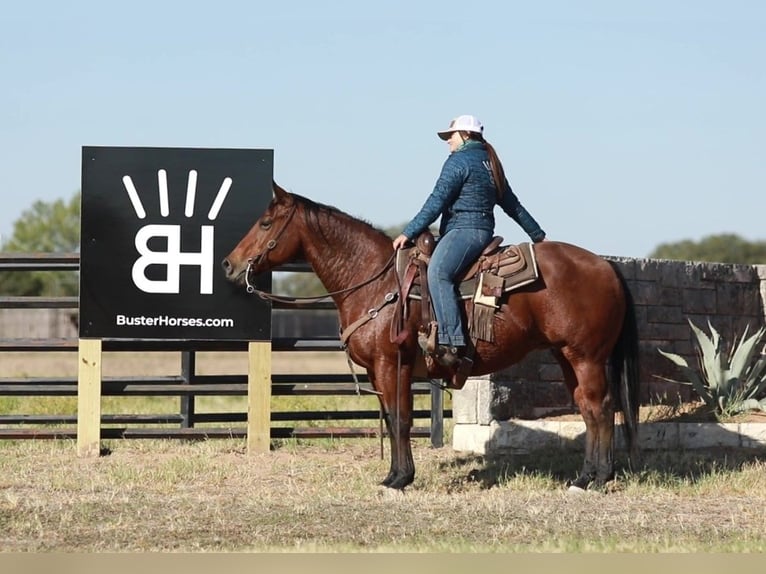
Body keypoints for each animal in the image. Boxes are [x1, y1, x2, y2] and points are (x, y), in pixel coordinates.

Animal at [222, 182, 640, 492]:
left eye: (265, 223)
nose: (229, 263)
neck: (376, 281)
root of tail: (606, 266)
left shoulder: (391, 364)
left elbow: (401, 419)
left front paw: (400, 480)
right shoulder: (383, 370)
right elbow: (393, 417)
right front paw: (394, 475)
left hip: (586, 356)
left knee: (600, 407)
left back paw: (596, 480)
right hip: (566, 355)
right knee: (587, 407)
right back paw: (586, 476)